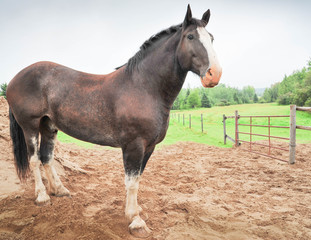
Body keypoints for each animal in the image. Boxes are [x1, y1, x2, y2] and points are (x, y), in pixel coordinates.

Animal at [6, 4, 222, 237]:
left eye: (211, 38)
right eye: (190, 36)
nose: (214, 74)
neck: (143, 87)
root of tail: (14, 79)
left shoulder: (149, 147)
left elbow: (138, 179)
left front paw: (136, 210)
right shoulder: (133, 146)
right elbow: (131, 181)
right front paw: (135, 220)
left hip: (48, 126)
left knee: (47, 156)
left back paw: (60, 190)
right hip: (30, 126)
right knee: (35, 159)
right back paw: (42, 196)